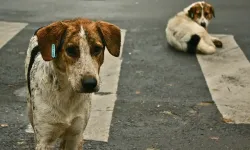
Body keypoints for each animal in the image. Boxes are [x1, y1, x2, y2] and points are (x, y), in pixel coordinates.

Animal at [24, 18, 121, 149]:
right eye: (70, 50)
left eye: (97, 49)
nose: (90, 83)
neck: (67, 94)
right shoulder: (45, 140)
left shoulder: (75, 135)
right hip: (30, 109)